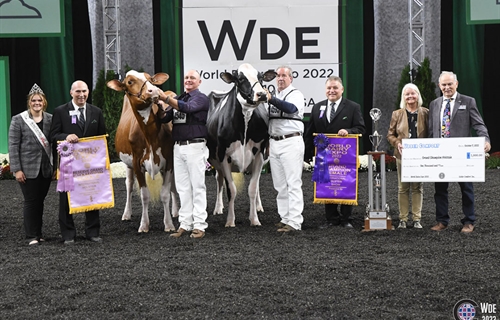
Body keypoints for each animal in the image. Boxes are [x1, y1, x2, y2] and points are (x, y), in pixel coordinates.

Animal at [207, 63, 278, 228]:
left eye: (260, 77)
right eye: (240, 78)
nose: (262, 94)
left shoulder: (259, 155)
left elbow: (252, 188)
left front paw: (254, 219)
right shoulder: (223, 157)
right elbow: (231, 190)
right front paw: (230, 221)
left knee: (256, 185)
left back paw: (258, 207)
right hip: (215, 161)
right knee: (219, 179)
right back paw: (218, 208)